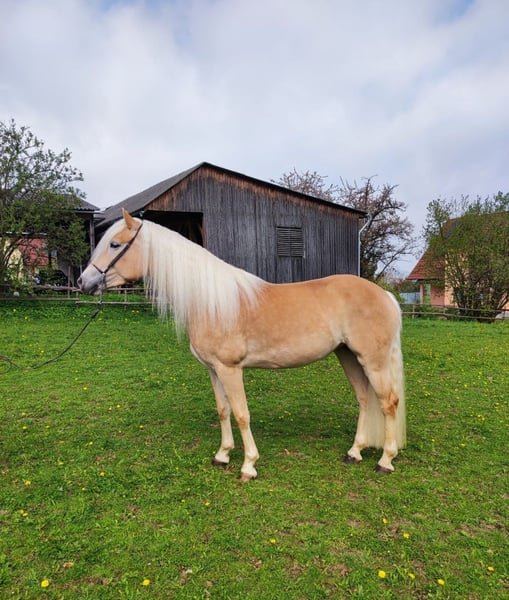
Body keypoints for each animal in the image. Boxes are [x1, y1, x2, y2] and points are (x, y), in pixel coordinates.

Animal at [78, 209, 406, 481]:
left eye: (115, 245)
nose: (83, 282)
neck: (210, 302)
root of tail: (385, 295)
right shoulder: (213, 370)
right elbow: (223, 411)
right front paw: (222, 455)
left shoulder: (230, 369)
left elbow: (241, 413)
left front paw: (248, 465)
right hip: (348, 356)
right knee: (364, 399)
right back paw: (355, 452)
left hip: (372, 361)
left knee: (388, 402)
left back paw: (386, 461)